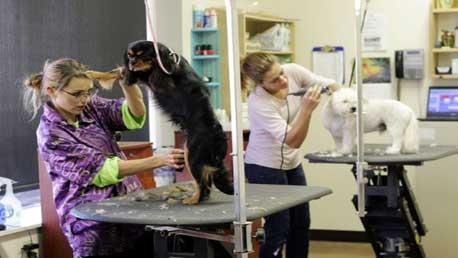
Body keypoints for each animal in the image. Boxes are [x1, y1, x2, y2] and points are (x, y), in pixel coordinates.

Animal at [121, 40, 233, 205]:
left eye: (143, 56)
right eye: (130, 56)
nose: (132, 63)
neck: (168, 59)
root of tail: (218, 136)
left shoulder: (158, 81)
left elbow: (144, 74)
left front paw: (126, 73)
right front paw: (125, 71)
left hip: (191, 154)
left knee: (202, 183)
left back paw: (193, 200)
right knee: (206, 181)